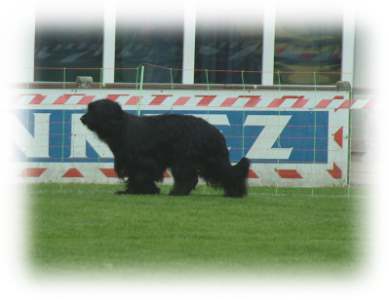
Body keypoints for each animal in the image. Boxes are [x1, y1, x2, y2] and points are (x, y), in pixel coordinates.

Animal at [80, 99, 250, 197]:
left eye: (93, 110)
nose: (82, 118)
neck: (121, 127)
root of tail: (214, 131)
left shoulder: (143, 161)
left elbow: (141, 176)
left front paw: (146, 190)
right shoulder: (131, 163)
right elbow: (135, 177)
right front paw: (132, 191)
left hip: (186, 159)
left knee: (189, 178)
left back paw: (177, 192)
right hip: (206, 160)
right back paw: (235, 192)